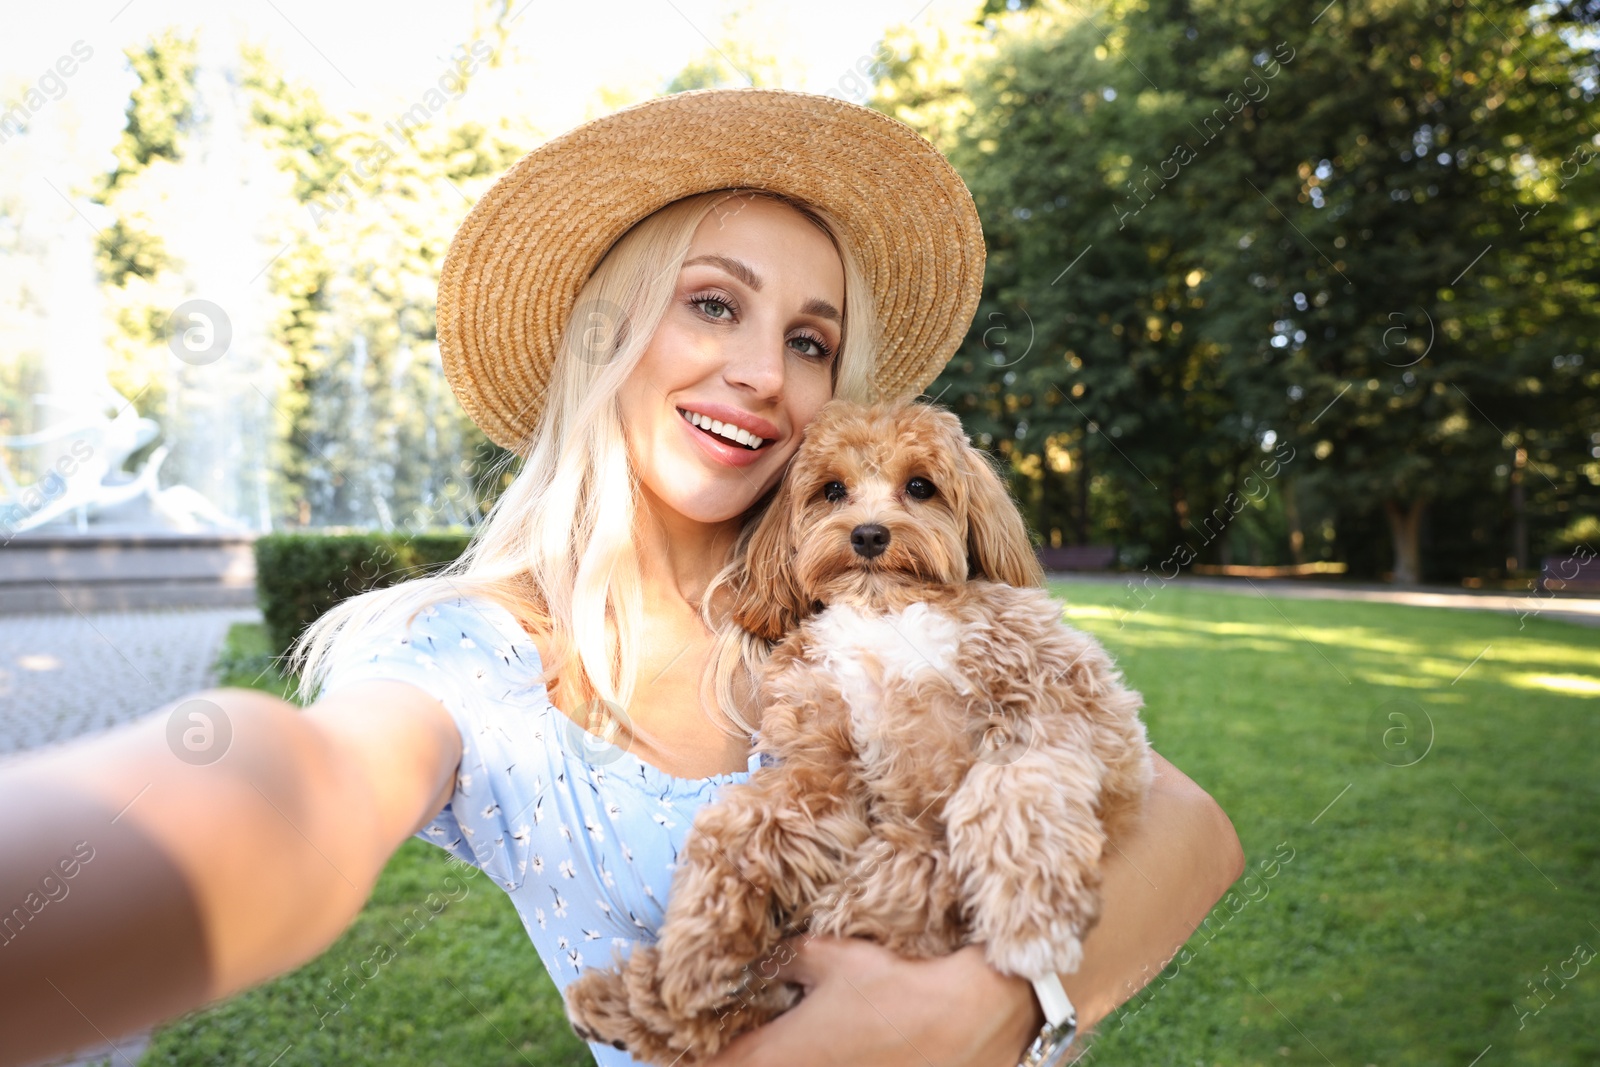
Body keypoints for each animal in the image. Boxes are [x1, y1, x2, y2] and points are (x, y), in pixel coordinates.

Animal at [563, 398, 1152, 1062]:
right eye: (832, 490)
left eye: (919, 486)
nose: (869, 534)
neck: (884, 613)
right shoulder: (818, 764)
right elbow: (734, 828)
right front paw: (695, 944)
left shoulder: (1070, 702)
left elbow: (1009, 787)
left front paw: (1030, 919)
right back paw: (627, 1000)